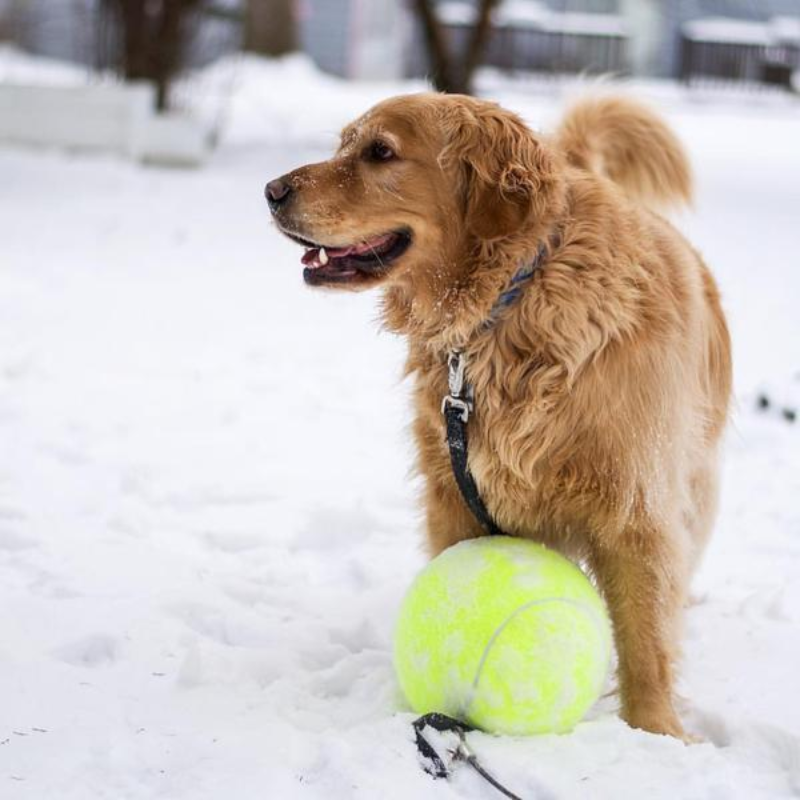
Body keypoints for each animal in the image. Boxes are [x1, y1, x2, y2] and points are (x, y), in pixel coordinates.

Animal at [268, 94, 732, 736]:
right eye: (343, 145)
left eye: (380, 152)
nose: (271, 191)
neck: (513, 301)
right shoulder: (455, 492)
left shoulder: (635, 505)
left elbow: (646, 639)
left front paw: (658, 733)